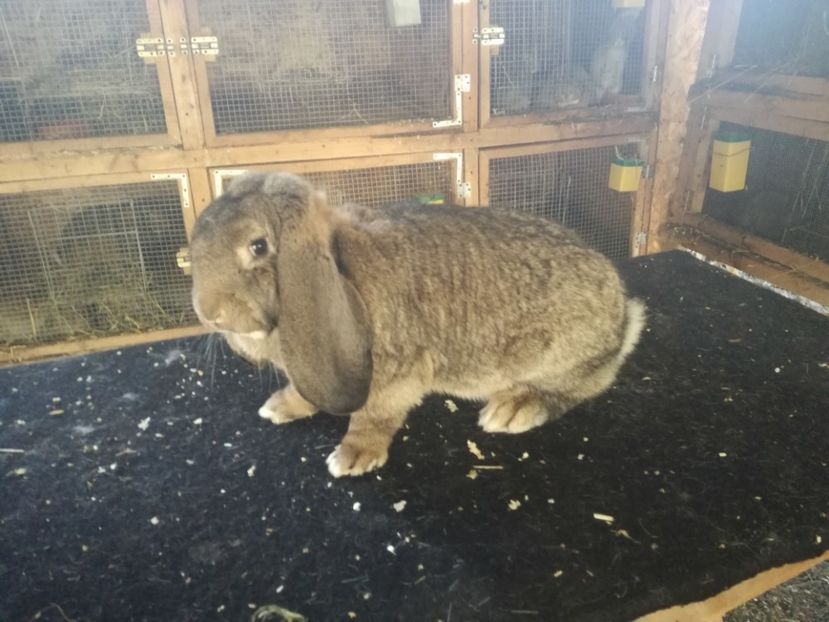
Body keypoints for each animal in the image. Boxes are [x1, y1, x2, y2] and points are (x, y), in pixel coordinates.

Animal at [191, 173, 644, 480]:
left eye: (258, 246)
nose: (209, 313)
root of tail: (625, 315)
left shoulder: (393, 378)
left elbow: (373, 418)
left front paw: (352, 458)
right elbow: (305, 393)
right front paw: (279, 407)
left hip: (558, 356)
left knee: (580, 386)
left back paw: (513, 408)